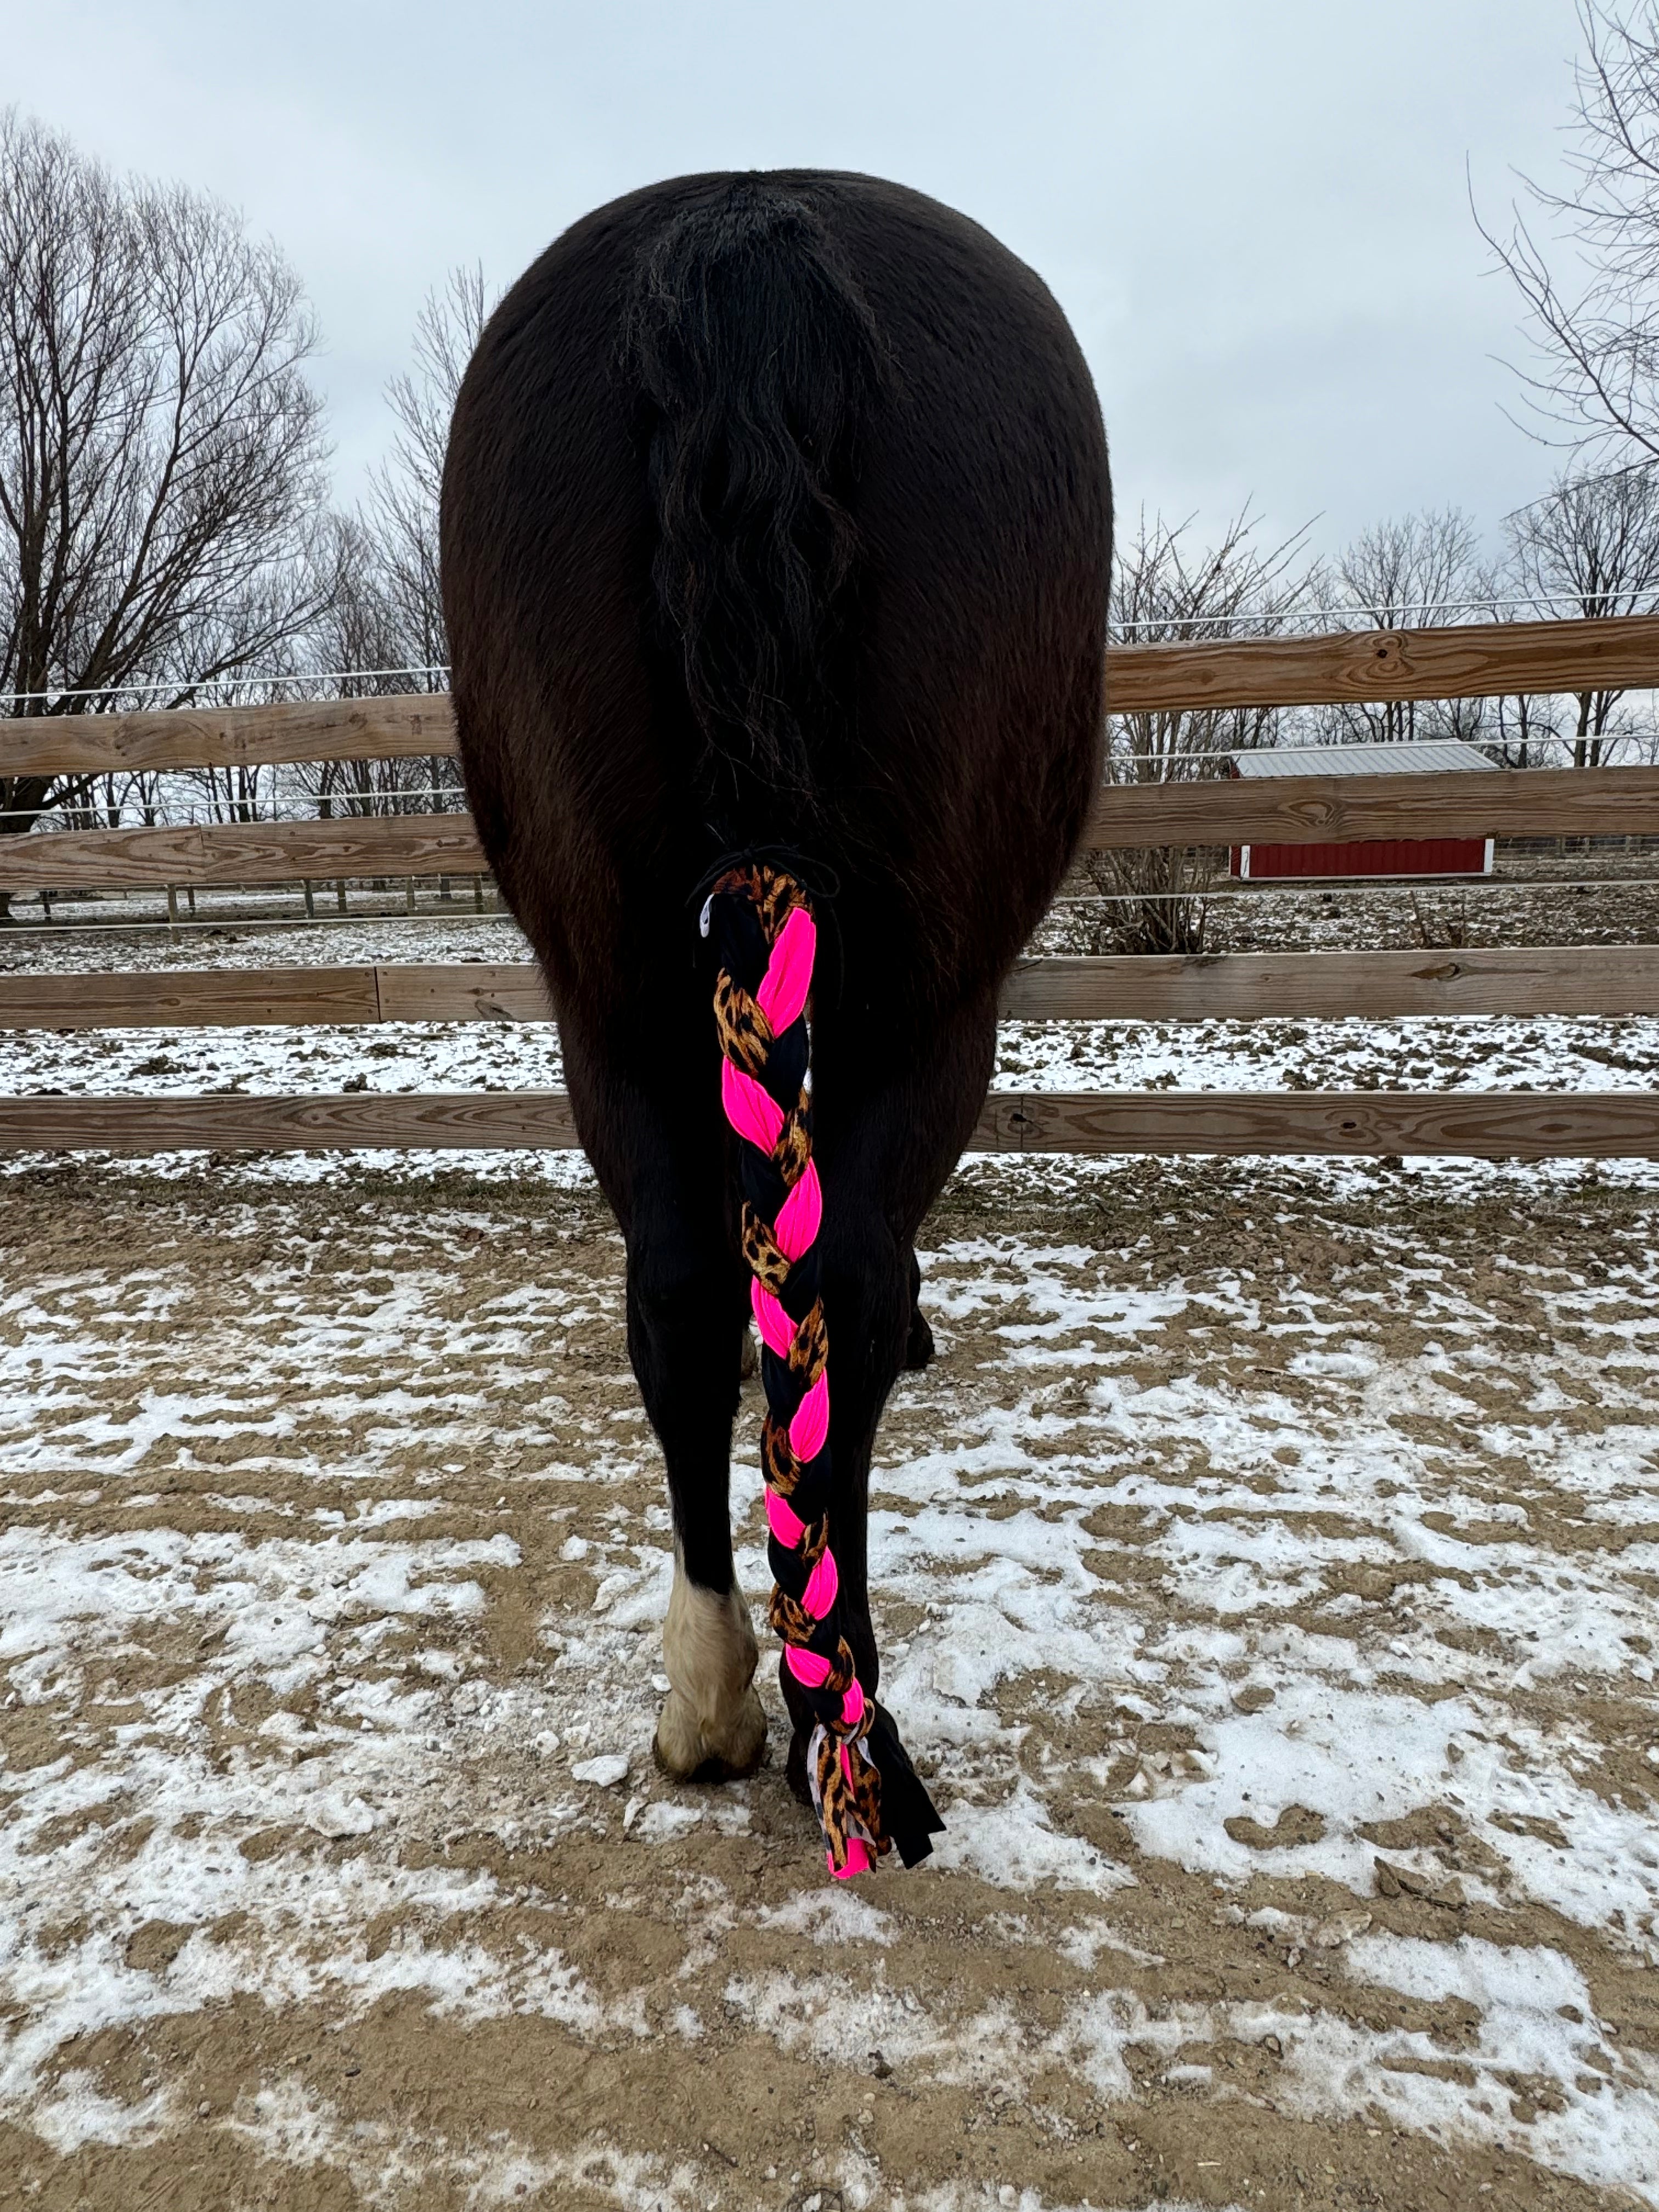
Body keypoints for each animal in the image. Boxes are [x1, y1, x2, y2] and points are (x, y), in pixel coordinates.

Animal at [442, 163, 1119, 1876]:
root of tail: (747, 226)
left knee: (685, 1300)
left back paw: (716, 1699)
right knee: (852, 1296)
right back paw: (839, 1723)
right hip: (931, 1007)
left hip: (609, 1000)